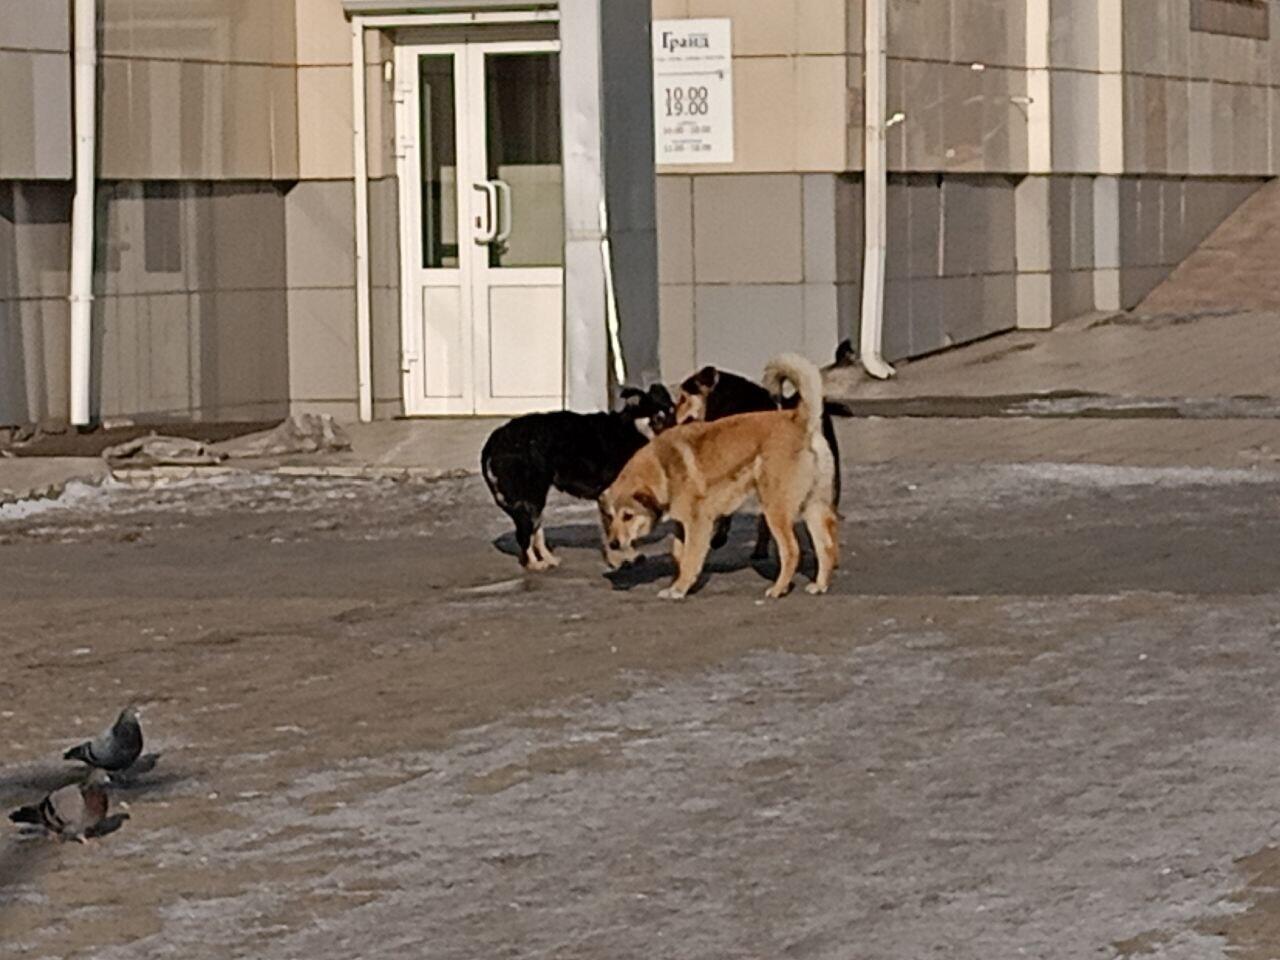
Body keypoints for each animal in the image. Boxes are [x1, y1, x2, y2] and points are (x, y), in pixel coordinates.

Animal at [481, 386, 680, 570]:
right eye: (658, 418)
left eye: (673, 413)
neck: (630, 430)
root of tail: (494, 439)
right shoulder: (609, 495)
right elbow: (612, 529)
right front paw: (620, 559)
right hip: (531, 497)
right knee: (526, 535)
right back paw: (535, 564)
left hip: (533, 500)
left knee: (536, 532)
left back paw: (548, 558)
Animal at [599, 353, 839, 601]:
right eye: (609, 517)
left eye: (628, 516)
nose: (614, 544)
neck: (664, 467)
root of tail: (800, 419)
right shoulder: (682, 525)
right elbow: (679, 553)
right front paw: (681, 580)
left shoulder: (698, 523)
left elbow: (690, 558)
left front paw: (679, 588)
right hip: (813, 506)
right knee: (826, 546)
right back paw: (819, 585)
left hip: (775, 509)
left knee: (791, 550)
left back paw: (778, 588)